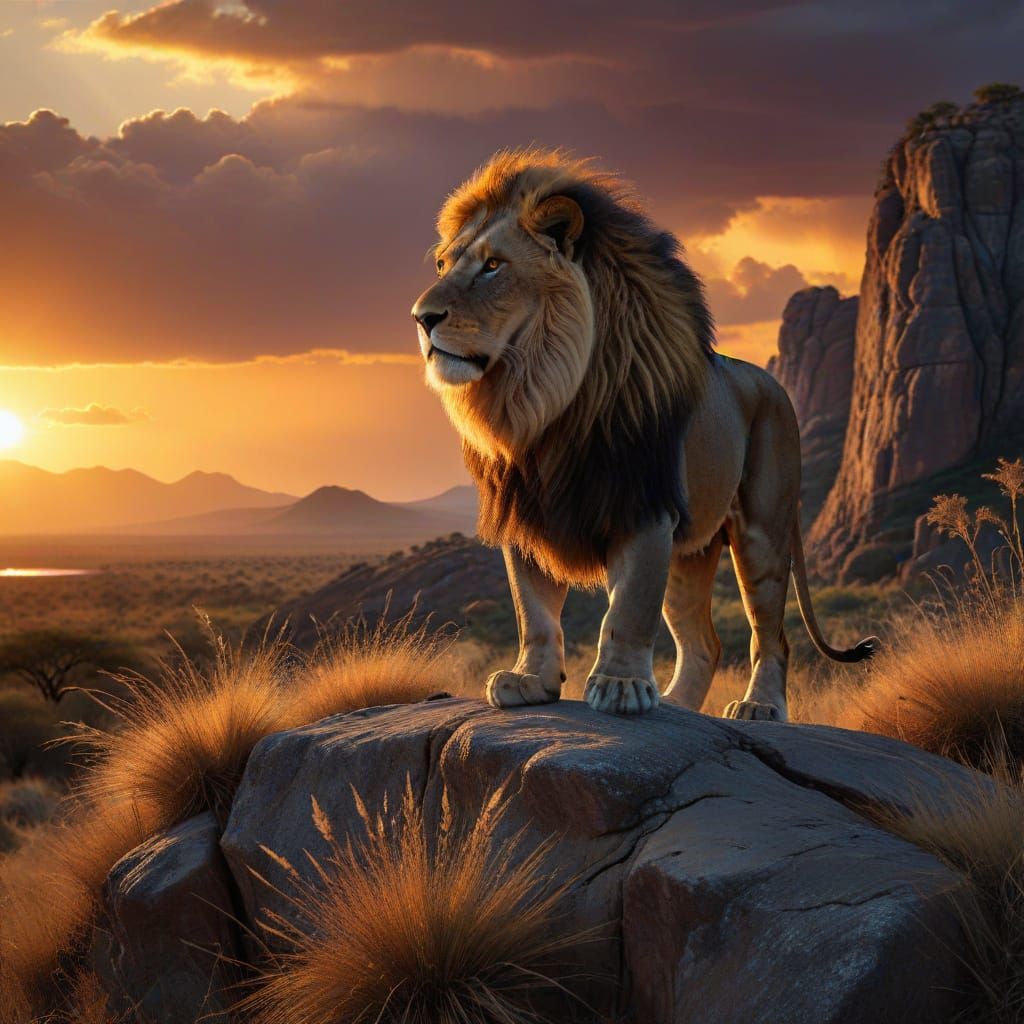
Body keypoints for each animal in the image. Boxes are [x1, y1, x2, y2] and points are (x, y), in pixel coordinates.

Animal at [411, 148, 877, 721]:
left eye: (494, 265)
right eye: (442, 265)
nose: (421, 317)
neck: (541, 402)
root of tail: (772, 382)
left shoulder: (641, 506)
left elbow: (628, 609)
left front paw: (620, 687)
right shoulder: (528, 514)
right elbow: (533, 611)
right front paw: (530, 681)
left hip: (762, 533)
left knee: (771, 635)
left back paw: (758, 707)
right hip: (689, 554)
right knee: (704, 642)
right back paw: (678, 704)